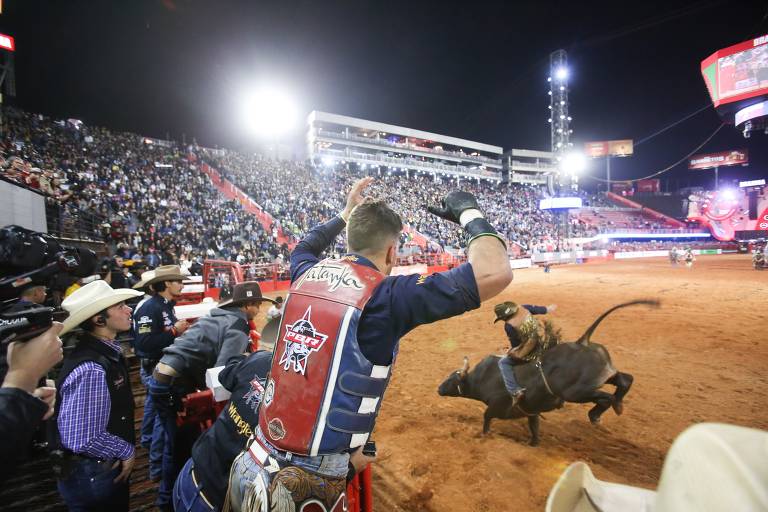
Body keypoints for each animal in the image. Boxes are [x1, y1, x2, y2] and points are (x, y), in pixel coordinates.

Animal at [438, 300, 660, 444]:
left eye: (451, 379)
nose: (438, 388)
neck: (481, 378)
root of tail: (582, 341)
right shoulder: (532, 411)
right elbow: (534, 427)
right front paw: (534, 443)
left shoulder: (497, 407)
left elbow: (486, 418)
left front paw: (483, 435)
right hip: (603, 375)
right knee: (624, 381)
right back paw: (615, 406)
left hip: (577, 392)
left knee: (606, 398)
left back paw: (597, 414)